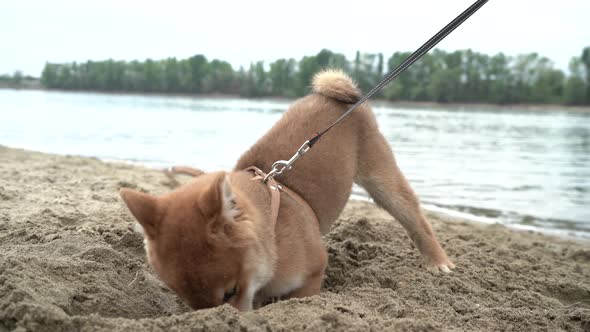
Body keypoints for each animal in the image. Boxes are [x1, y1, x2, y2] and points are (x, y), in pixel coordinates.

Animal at [119, 69, 454, 312]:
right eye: (188, 302)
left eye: (231, 291)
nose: (216, 317)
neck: (273, 230)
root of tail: (329, 98)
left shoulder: (313, 271)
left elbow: (298, 297)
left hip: (383, 181)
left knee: (417, 221)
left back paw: (437, 261)